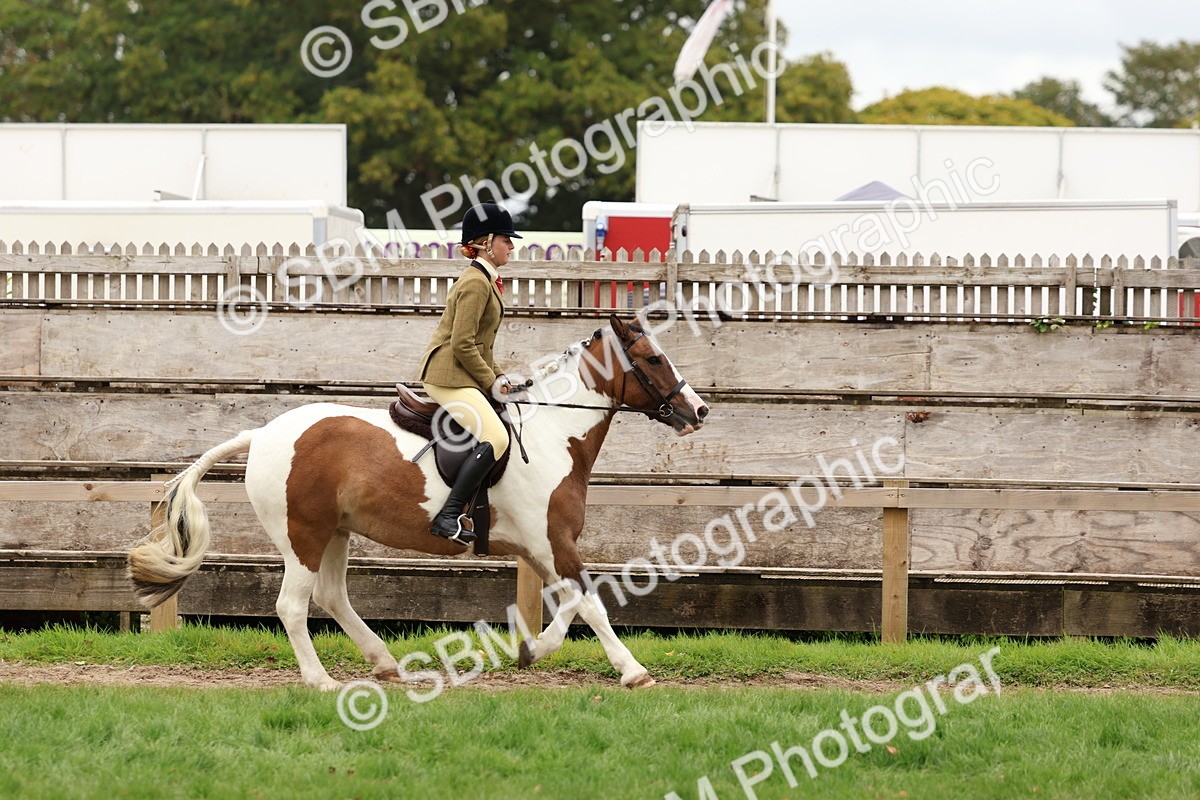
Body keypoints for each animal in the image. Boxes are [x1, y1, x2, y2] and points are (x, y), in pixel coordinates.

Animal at [128, 316, 709, 691]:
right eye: (653, 358)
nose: (699, 410)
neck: (553, 433)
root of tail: (263, 434)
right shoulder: (552, 541)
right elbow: (591, 603)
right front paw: (633, 671)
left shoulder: (544, 546)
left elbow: (571, 603)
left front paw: (531, 651)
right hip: (303, 536)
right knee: (293, 606)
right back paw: (320, 681)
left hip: (336, 532)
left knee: (332, 597)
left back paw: (384, 664)